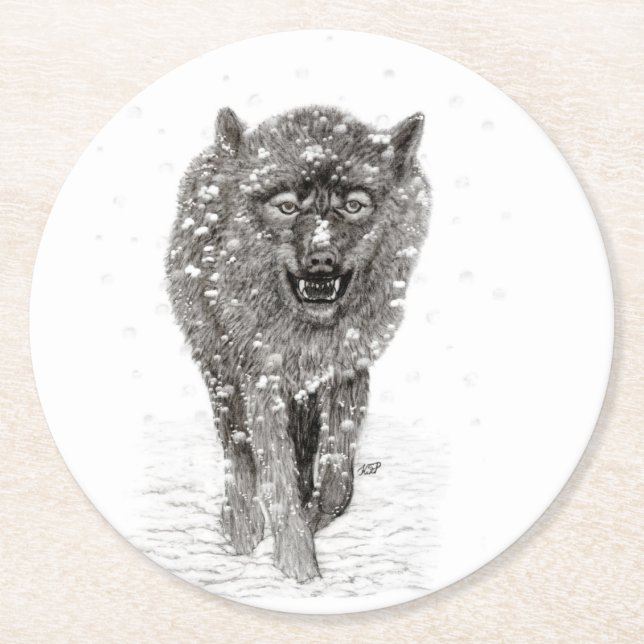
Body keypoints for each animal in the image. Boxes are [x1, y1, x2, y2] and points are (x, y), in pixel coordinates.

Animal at [166, 105, 431, 581]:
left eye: (353, 205)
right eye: (287, 207)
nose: (321, 260)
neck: (309, 335)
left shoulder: (347, 372)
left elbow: (337, 481)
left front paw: (310, 521)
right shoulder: (261, 382)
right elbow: (276, 476)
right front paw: (297, 567)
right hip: (221, 373)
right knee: (237, 451)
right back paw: (241, 526)